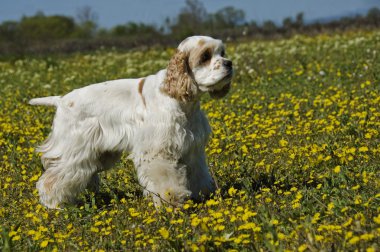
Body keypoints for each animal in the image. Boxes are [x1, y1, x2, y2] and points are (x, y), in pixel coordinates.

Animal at [29, 35, 233, 209]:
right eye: (205, 56)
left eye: (222, 52)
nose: (229, 63)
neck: (180, 98)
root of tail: (61, 100)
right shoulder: (159, 150)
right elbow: (166, 179)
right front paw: (171, 201)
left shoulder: (192, 148)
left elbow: (199, 174)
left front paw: (203, 195)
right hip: (74, 152)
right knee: (52, 179)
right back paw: (54, 206)